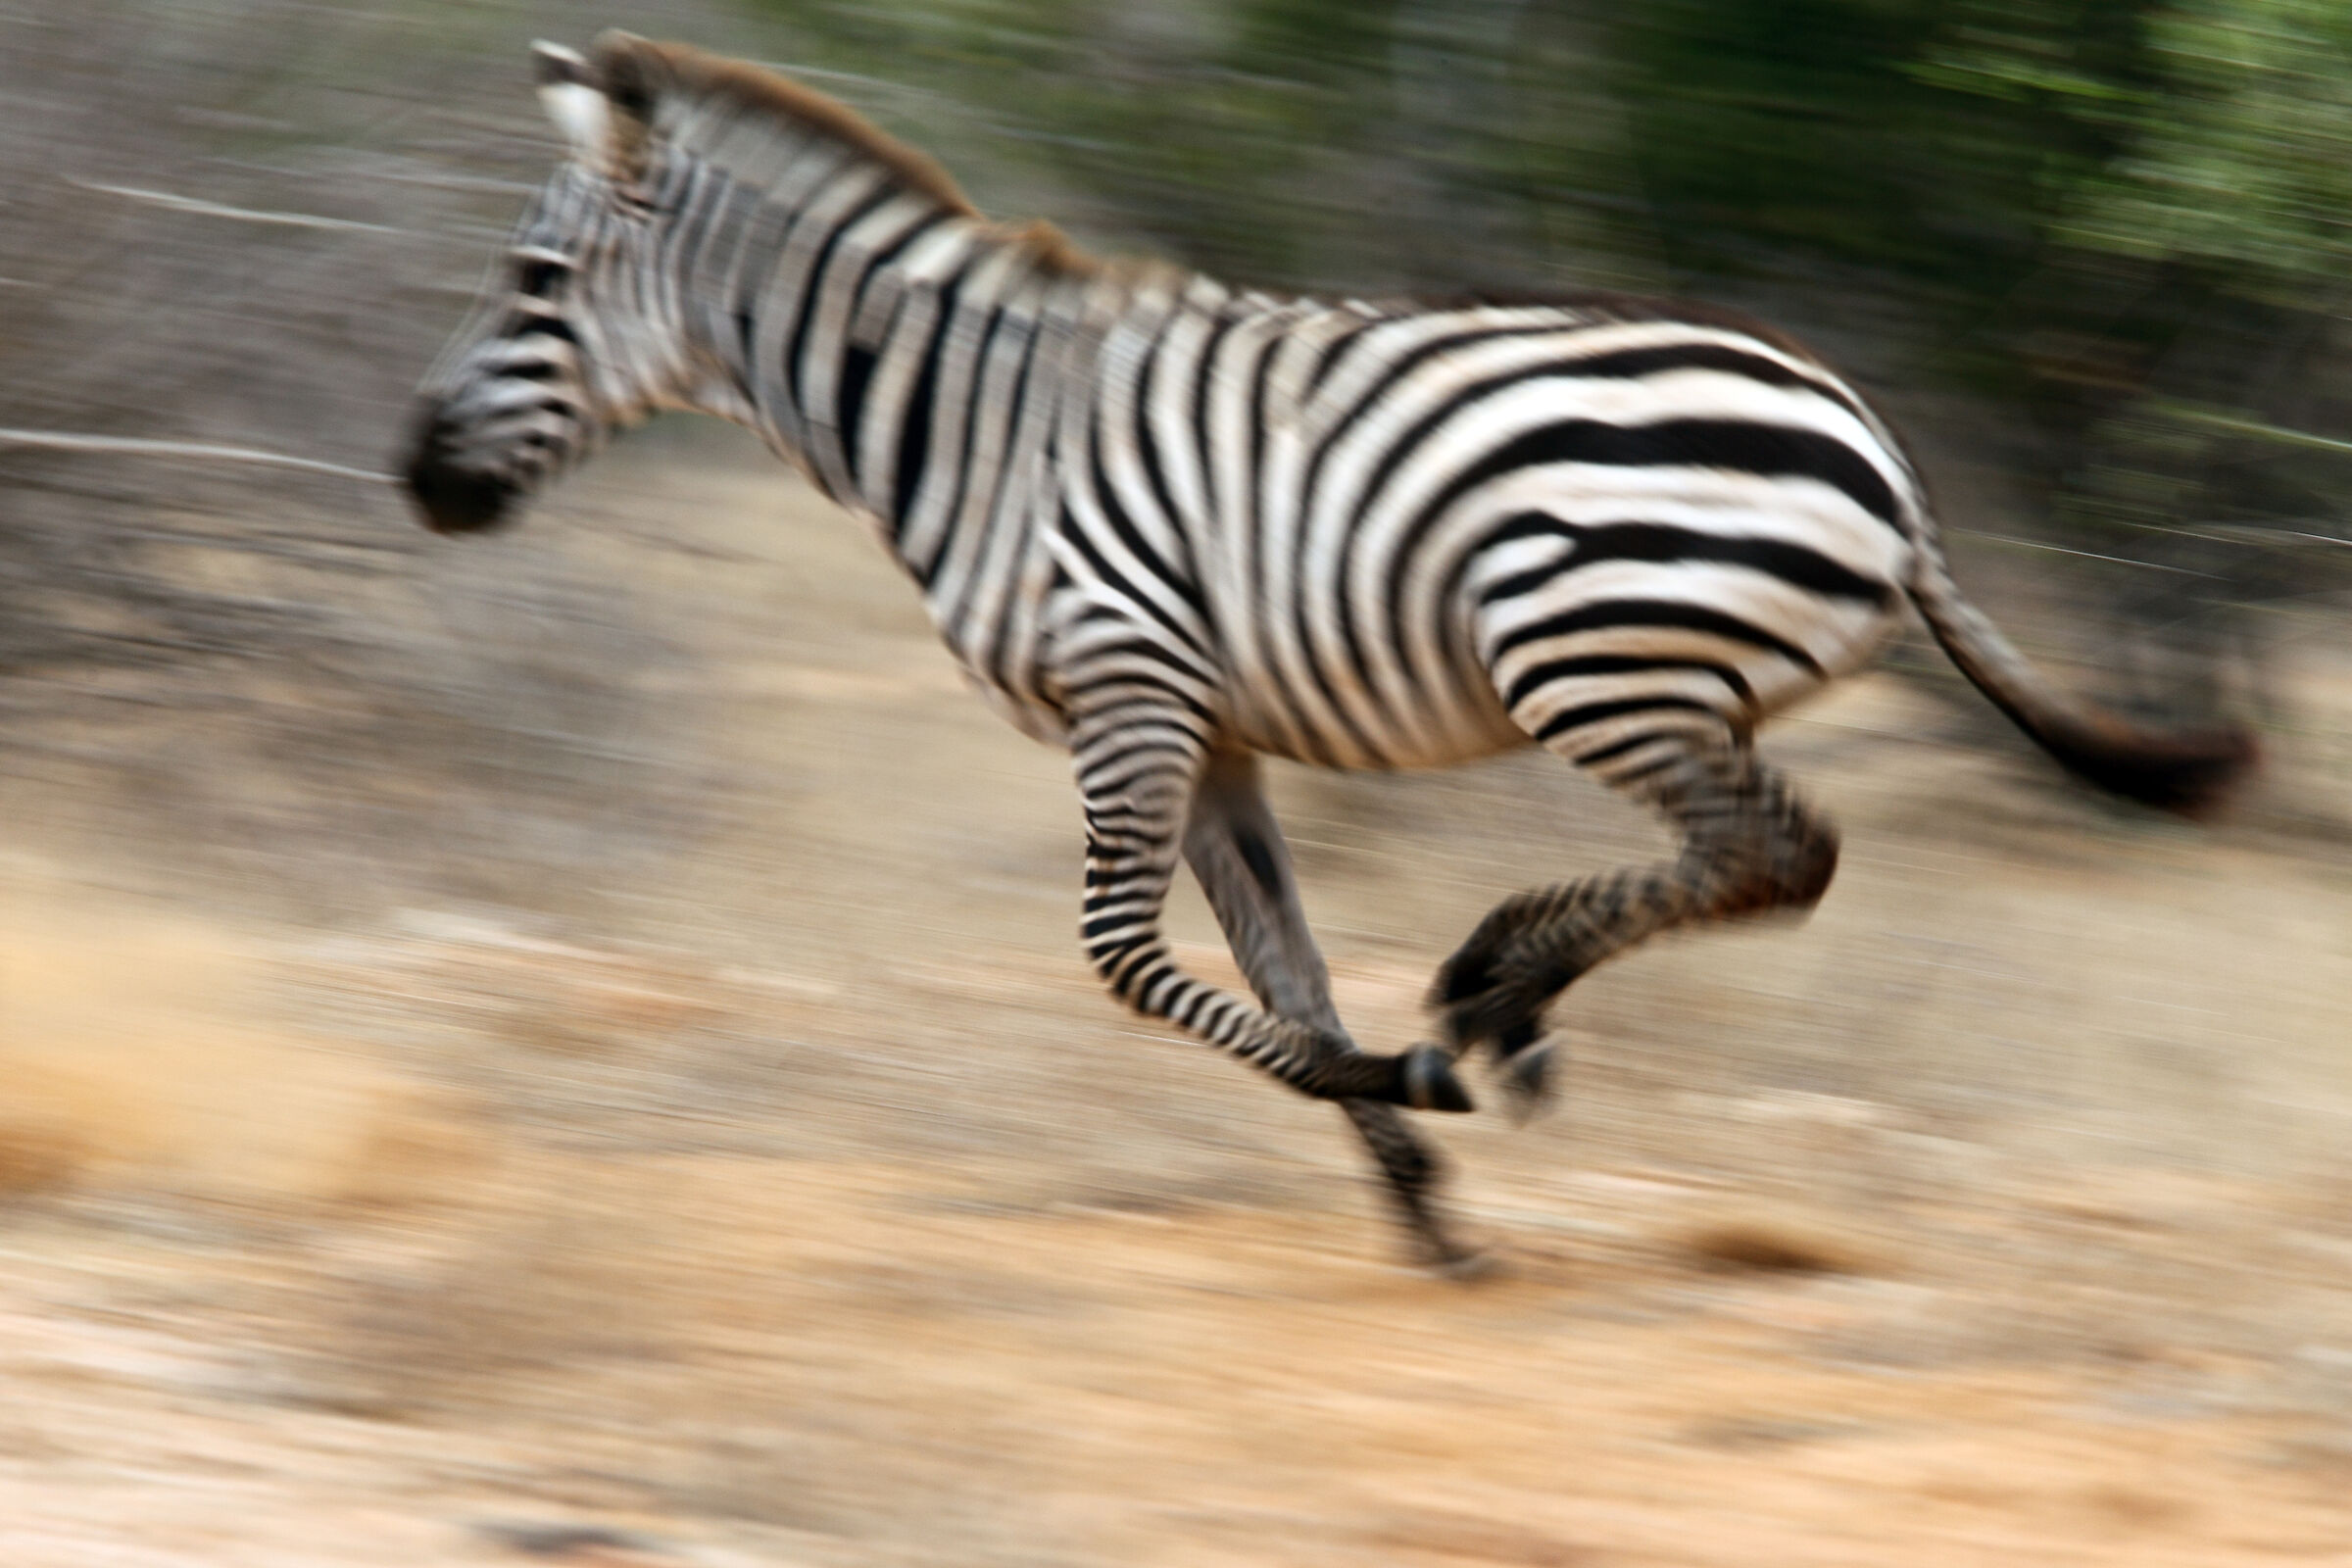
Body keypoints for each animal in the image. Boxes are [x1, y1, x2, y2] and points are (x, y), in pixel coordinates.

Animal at [401, 34, 2253, 1269]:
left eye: (534, 281)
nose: (416, 479)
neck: (975, 428)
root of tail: (1875, 445)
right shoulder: (1209, 725)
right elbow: (1278, 960)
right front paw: (1415, 1198)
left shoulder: (1129, 686)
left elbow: (1122, 961)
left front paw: (1405, 1077)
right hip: (1653, 675)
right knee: (1752, 855)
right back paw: (1504, 996)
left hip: (1587, 657)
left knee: (1776, 852)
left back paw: (1496, 983)